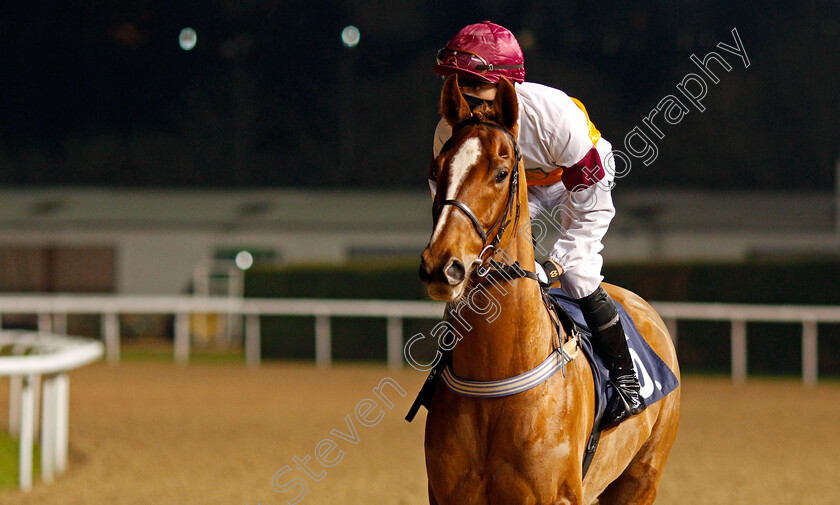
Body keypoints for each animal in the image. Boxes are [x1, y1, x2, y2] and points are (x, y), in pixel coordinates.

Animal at [416, 76, 680, 504]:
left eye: (501, 173)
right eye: (437, 170)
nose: (442, 265)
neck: (494, 379)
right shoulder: (446, 494)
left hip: (641, 478)